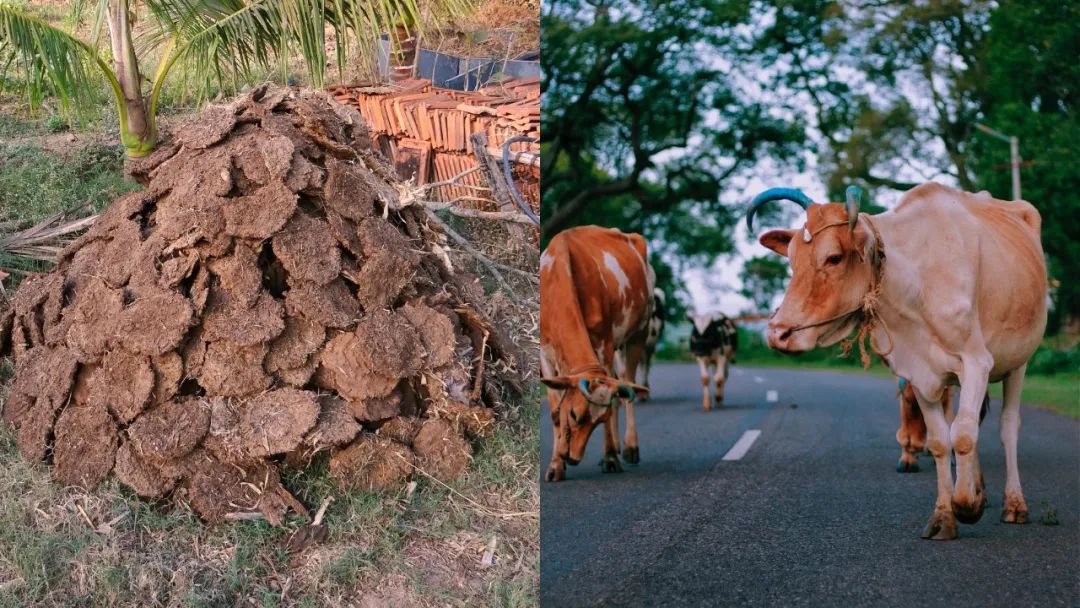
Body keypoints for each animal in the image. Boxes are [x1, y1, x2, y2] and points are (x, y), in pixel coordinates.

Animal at [540, 225, 648, 483]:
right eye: (574, 414)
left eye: (600, 420)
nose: (572, 458)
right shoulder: (545, 352)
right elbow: (554, 412)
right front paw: (555, 466)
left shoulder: (604, 345)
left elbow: (614, 399)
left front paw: (610, 458)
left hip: (638, 333)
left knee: (626, 385)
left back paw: (629, 448)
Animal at [751, 183, 1045, 539]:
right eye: (792, 260)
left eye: (834, 257)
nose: (778, 333)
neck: (917, 285)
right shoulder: (919, 373)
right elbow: (940, 441)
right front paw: (945, 514)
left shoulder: (977, 362)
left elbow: (962, 435)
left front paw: (966, 505)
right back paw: (979, 490)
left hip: (1018, 361)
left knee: (1007, 426)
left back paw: (1014, 504)